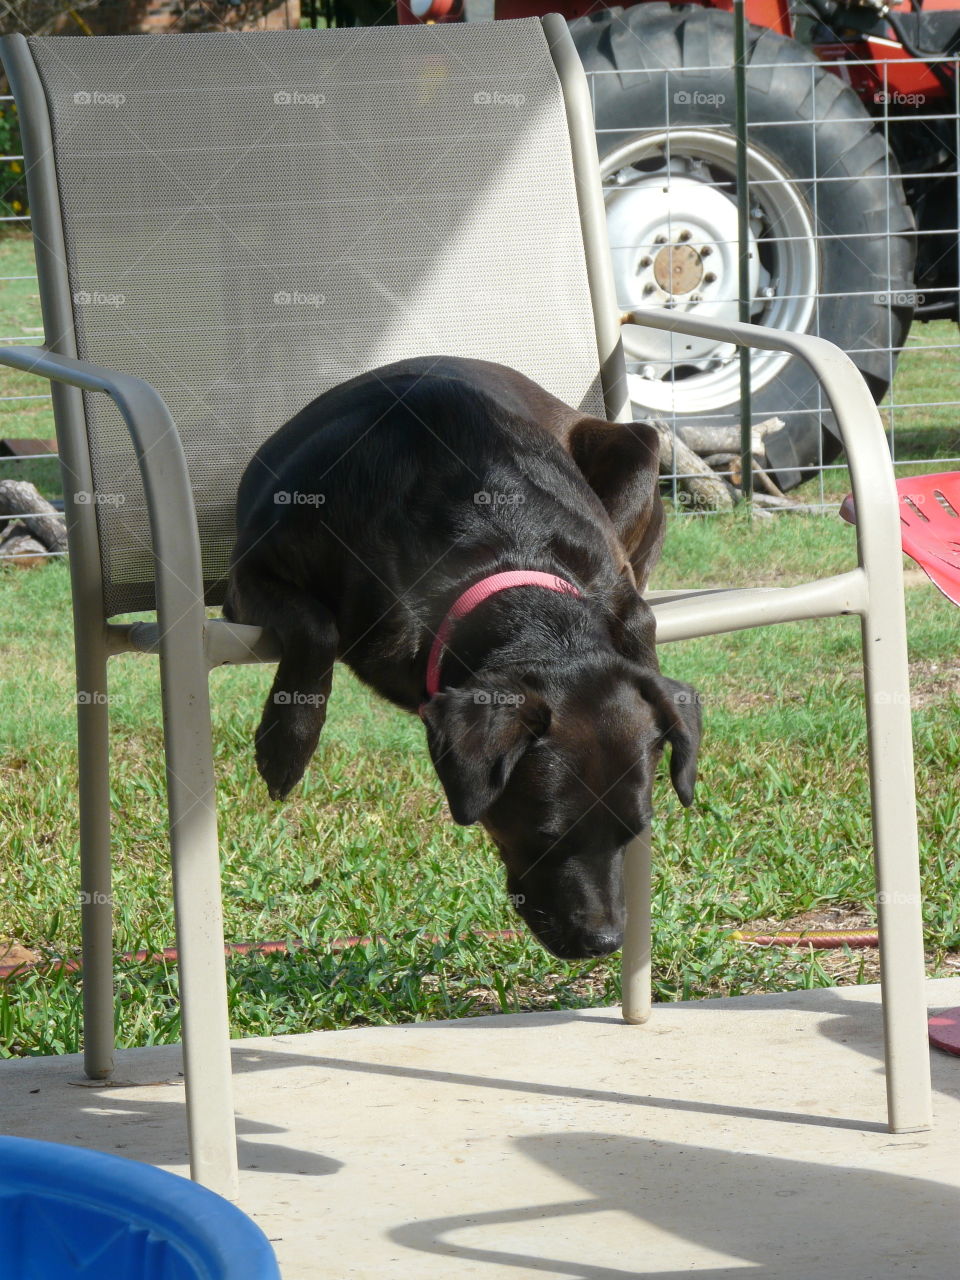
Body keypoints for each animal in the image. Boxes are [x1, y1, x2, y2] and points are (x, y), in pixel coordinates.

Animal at [227, 355, 701, 957]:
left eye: (633, 832)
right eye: (546, 835)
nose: (606, 942)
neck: (498, 552)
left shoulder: (621, 597)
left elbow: (643, 636)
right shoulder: (248, 571)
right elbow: (316, 627)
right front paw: (286, 746)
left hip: (639, 448)